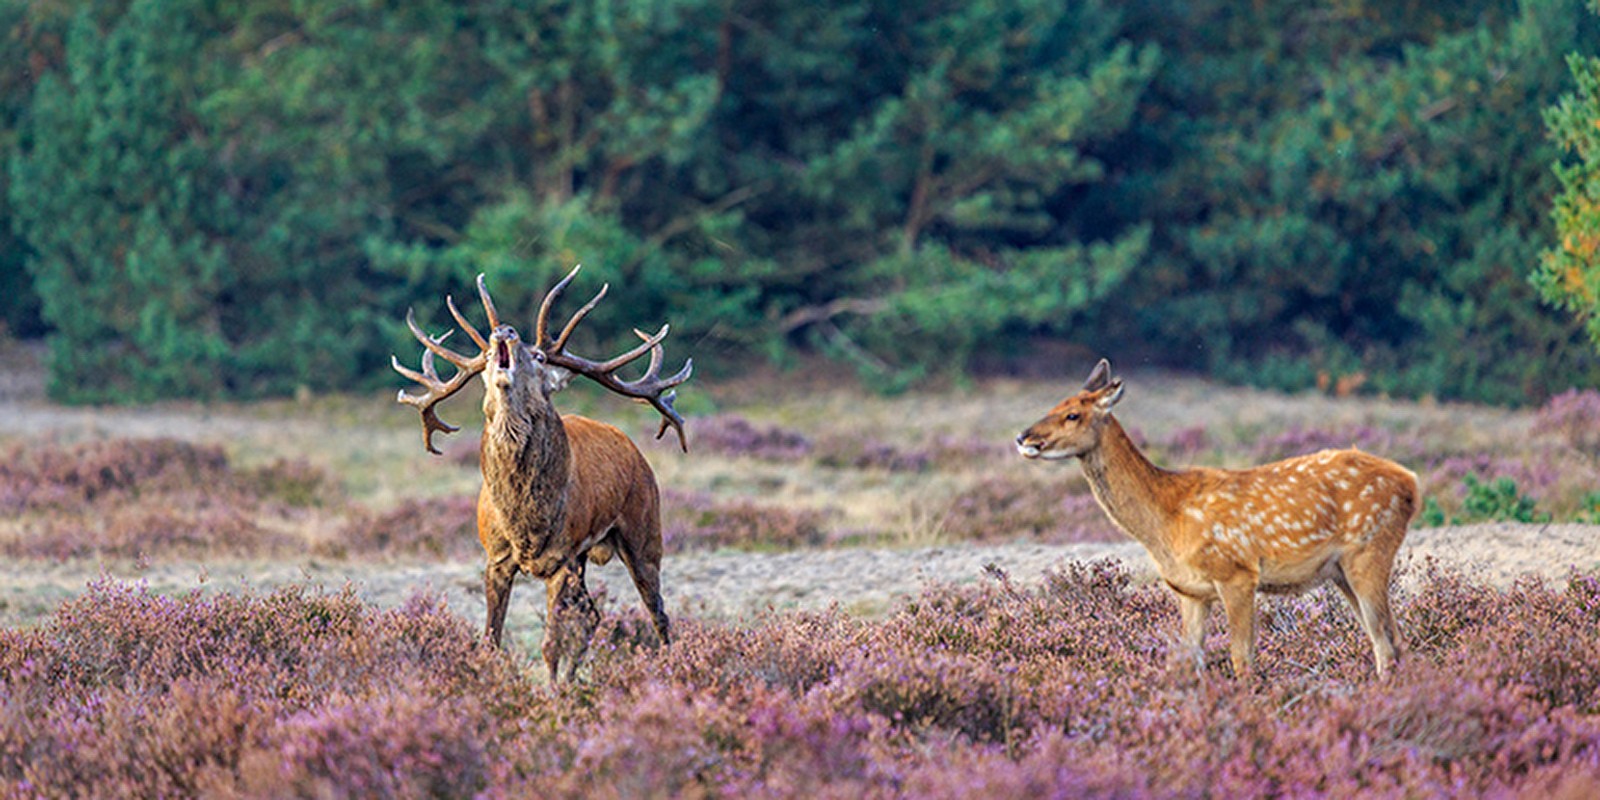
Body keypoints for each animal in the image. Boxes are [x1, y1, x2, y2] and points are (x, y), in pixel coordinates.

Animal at [392, 268, 688, 681]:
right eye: (487, 356)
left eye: (539, 355)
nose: (504, 331)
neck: (526, 523)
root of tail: (634, 450)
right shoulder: (496, 558)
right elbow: (491, 638)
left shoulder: (561, 558)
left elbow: (550, 644)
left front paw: (551, 692)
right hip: (585, 557)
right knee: (592, 615)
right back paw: (574, 678)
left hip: (644, 532)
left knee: (658, 613)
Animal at [1017, 360, 1420, 678]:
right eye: (1055, 403)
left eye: (1073, 414)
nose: (1024, 437)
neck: (1165, 520)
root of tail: (1411, 484)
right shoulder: (1189, 591)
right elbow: (1190, 660)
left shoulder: (1237, 572)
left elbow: (1242, 659)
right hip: (1340, 571)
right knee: (1390, 640)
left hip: (1369, 549)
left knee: (1387, 641)